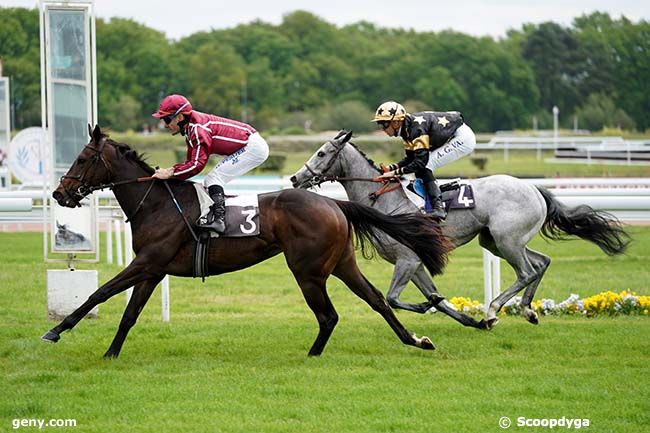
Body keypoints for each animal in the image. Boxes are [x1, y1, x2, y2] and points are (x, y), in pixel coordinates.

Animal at [41, 125, 450, 358]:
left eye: (82, 158)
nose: (60, 193)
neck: (157, 203)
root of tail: (334, 201)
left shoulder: (147, 262)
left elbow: (99, 293)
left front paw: (55, 331)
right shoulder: (154, 269)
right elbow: (128, 313)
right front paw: (111, 353)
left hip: (308, 270)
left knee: (328, 315)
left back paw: (312, 356)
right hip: (341, 263)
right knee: (377, 300)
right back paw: (415, 340)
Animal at [288, 131, 628, 328]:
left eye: (321, 153)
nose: (294, 178)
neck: (386, 201)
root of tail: (534, 188)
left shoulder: (407, 260)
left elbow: (395, 298)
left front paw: (435, 307)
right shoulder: (415, 262)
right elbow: (434, 297)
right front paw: (463, 317)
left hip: (507, 240)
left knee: (527, 271)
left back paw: (494, 311)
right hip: (496, 241)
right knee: (542, 262)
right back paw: (527, 310)